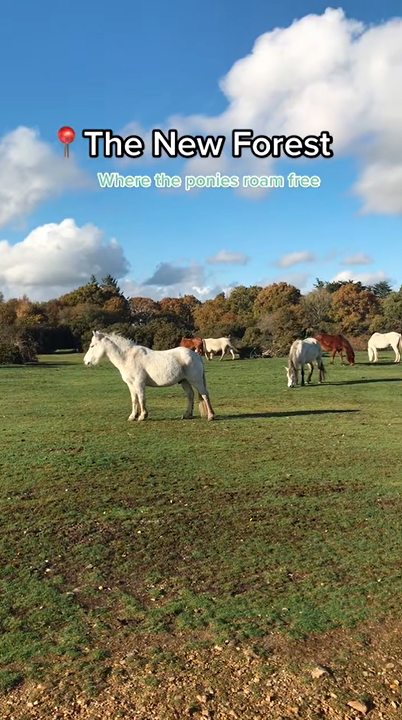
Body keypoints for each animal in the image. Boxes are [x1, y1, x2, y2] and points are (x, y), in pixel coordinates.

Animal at [83, 331, 215, 421]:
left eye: (92, 346)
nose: (86, 361)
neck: (127, 358)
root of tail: (196, 355)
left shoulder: (139, 383)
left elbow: (141, 398)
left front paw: (142, 416)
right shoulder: (131, 385)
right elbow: (134, 400)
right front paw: (133, 416)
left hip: (196, 380)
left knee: (204, 395)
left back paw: (211, 416)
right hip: (184, 381)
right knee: (190, 395)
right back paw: (187, 415)